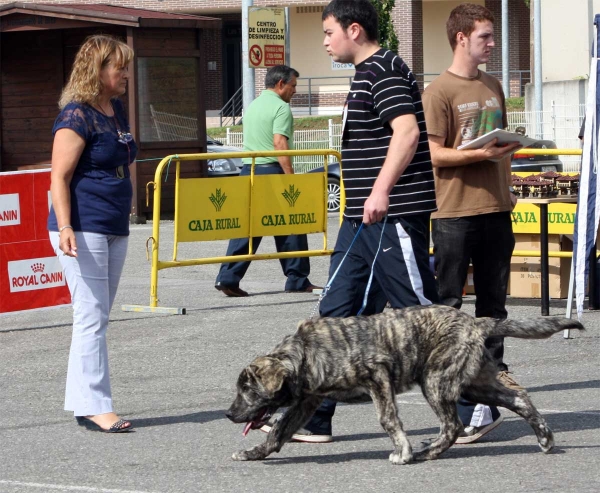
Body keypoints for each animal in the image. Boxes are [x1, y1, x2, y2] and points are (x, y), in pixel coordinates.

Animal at [227, 306, 584, 464]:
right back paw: (545, 437)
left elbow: (388, 419)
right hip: (474, 383)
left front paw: (404, 451)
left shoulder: (377, 377)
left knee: (452, 425)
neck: (305, 354)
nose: (230, 414)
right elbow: (279, 430)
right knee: (519, 398)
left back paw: (426, 453)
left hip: (436, 380)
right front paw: (255, 453)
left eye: (248, 390)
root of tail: (475, 321)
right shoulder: (307, 401)